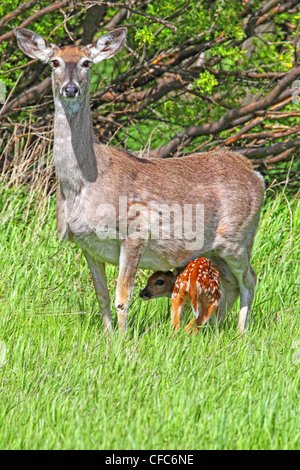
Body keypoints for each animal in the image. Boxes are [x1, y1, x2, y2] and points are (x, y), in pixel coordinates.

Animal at [14, 27, 262, 334]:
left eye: (87, 63)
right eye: (54, 62)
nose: (70, 89)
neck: (82, 186)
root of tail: (255, 173)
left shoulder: (135, 231)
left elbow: (122, 296)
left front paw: (121, 339)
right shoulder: (86, 243)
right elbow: (102, 295)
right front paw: (108, 336)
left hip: (238, 237)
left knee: (250, 278)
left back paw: (241, 332)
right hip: (215, 248)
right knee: (231, 283)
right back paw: (214, 328)